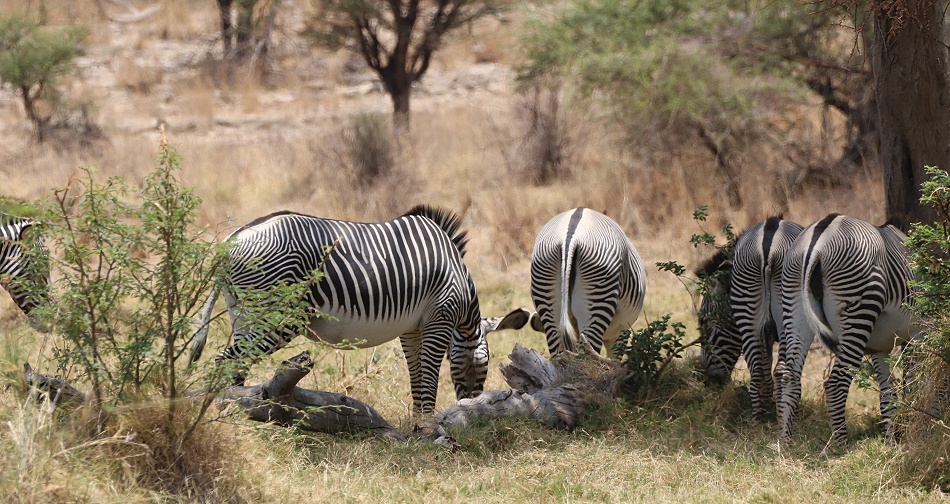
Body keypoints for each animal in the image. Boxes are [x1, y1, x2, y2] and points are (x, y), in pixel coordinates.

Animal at [188, 205, 529, 414]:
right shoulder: (439, 319)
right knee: (224, 361)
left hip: (244, 314)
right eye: (485, 364)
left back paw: (242, 416)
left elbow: (417, 375)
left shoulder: (411, 330)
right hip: (276, 316)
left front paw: (419, 424)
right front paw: (431, 426)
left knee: (236, 366)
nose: (471, 408)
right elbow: (430, 376)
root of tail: (232, 240)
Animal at [697, 217, 803, 420]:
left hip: (748, 312)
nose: (707, 381)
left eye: (703, 322)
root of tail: (769, 248)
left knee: (757, 370)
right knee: (777, 370)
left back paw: (758, 419)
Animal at [777, 214, 917, 445]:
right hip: (858, 310)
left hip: (793, 306)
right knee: (835, 383)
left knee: (789, 377)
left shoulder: (881, 347)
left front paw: (891, 442)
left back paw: (785, 442)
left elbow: (888, 394)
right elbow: (918, 385)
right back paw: (840, 444)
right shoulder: (918, 335)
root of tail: (818, 239)